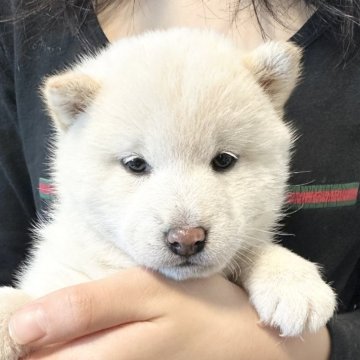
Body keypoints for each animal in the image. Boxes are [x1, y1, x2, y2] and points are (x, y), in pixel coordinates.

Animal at [0, 28, 334, 360]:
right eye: (135, 164)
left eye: (224, 160)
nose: (186, 239)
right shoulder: (59, 273)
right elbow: (25, 298)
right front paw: (7, 322)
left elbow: (252, 248)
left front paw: (291, 281)